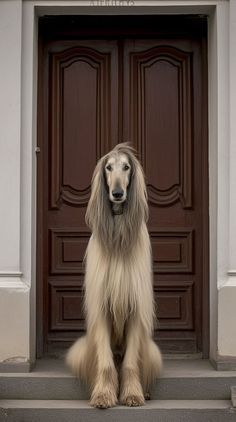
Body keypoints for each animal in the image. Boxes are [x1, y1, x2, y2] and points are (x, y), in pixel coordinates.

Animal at [66, 143, 162, 408]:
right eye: (108, 167)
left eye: (126, 167)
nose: (117, 193)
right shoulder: (101, 306)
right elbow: (106, 362)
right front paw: (103, 394)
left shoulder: (136, 307)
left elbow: (130, 363)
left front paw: (132, 394)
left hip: (153, 351)